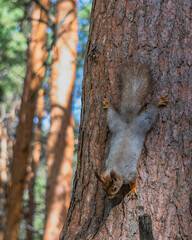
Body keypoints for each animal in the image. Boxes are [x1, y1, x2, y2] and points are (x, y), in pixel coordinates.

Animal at [95, 62, 167, 200]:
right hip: (114, 123)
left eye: (115, 188)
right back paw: (109, 105)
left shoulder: (130, 173)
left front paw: (133, 190)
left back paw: (158, 102)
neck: (115, 170)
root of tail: (128, 120)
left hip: (144, 123)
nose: (109, 197)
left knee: (151, 113)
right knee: (111, 114)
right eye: (103, 187)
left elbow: (134, 179)